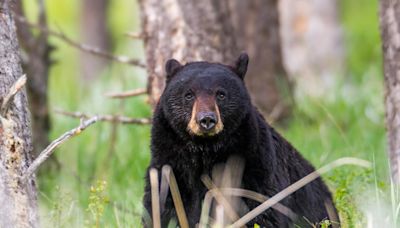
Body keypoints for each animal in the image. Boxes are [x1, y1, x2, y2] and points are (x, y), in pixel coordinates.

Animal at [142, 54, 340, 228]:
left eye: (221, 94)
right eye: (189, 95)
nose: (206, 120)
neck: (205, 151)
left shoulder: (254, 162)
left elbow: (263, 206)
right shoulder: (170, 164)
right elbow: (162, 203)